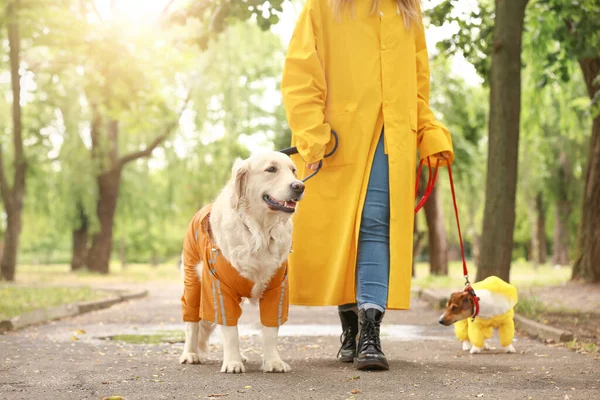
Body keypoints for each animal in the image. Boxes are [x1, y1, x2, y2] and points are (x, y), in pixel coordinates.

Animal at [176, 152, 302, 374]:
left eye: (293, 170)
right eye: (271, 169)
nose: (300, 186)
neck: (259, 232)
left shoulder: (277, 287)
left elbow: (270, 330)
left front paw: (273, 361)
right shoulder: (219, 287)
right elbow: (229, 330)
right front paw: (232, 363)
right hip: (193, 282)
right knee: (192, 322)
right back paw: (190, 354)